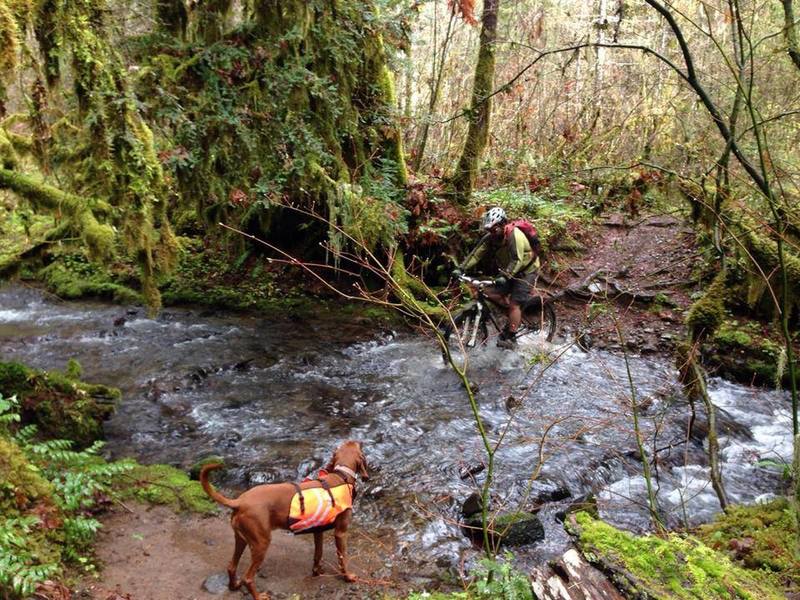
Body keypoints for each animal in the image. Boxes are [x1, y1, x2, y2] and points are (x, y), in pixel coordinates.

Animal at [200, 440, 368, 600]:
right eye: (356, 444)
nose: (360, 441)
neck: (341, 475)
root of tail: (239, 501)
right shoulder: (340, 533)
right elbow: (343, 558)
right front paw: (348, 576)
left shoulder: (318, 531)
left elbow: (318, 554)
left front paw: (317, 571)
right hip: (261, 543)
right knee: (247, 577)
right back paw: (259, 596)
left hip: (241, 539)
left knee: (231, 566)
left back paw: (234, 585)